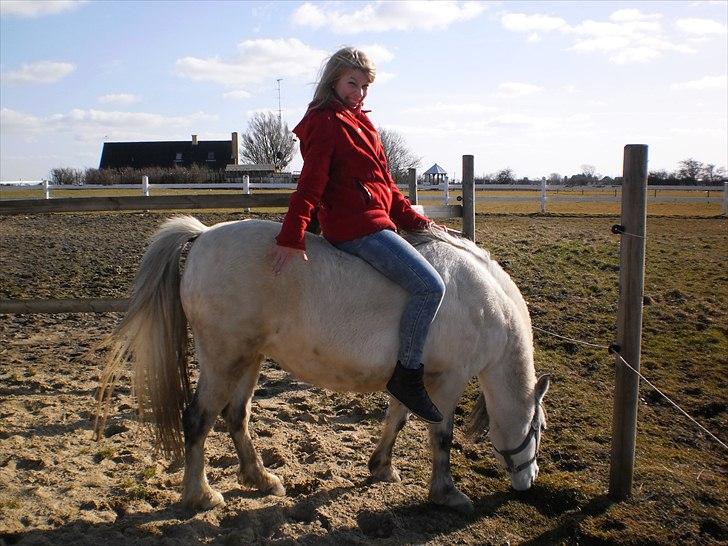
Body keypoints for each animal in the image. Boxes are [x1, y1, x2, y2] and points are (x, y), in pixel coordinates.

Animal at [96, 216, 550, 514]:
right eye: (539, 427)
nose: (529, 483)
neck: (484, 302)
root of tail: (204, 235)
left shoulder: (413, 378)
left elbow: (397, 418)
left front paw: (382, 467)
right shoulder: (448, 380)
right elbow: (441, 436)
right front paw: (446, 493)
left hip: (248, 358)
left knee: (235, 415)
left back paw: (260, 479)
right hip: (225, 358)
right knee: (197, 420)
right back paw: (200, 495)